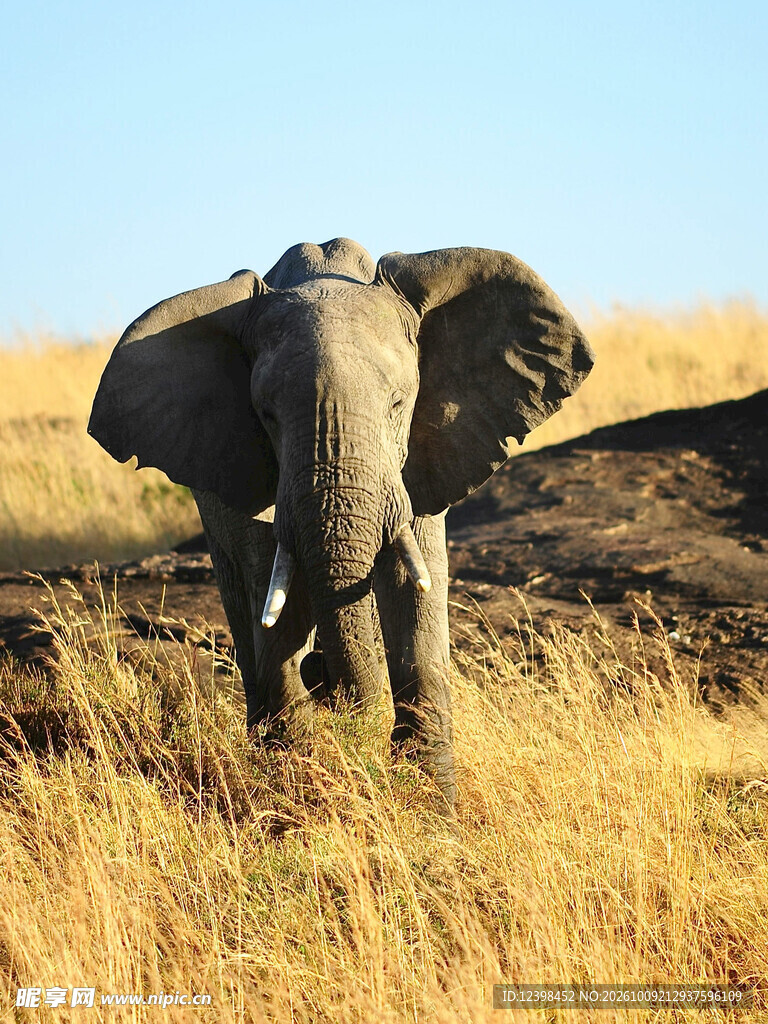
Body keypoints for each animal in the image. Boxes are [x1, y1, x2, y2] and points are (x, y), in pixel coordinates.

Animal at [88, 237, 594, 807]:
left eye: (399, 402)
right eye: (266, 415)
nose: (324, 676)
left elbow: (416, 589)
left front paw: (435, 809)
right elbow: (276, 596)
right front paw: (290, 787)